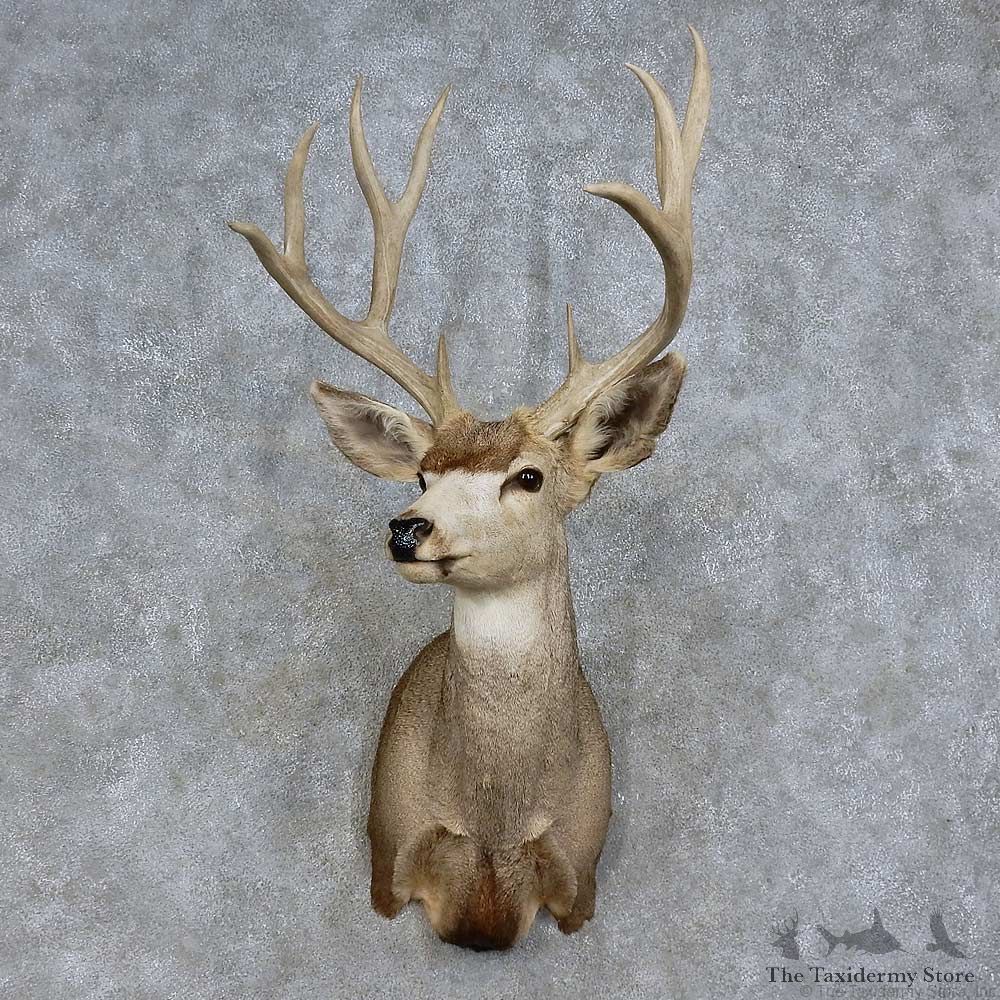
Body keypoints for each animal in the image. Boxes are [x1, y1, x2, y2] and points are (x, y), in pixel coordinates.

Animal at [228, 26, 710, 951]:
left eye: (529, 476)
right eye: (423, 472)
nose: (407, 527)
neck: (493, 819)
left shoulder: (579, 878)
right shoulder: (390, 856)